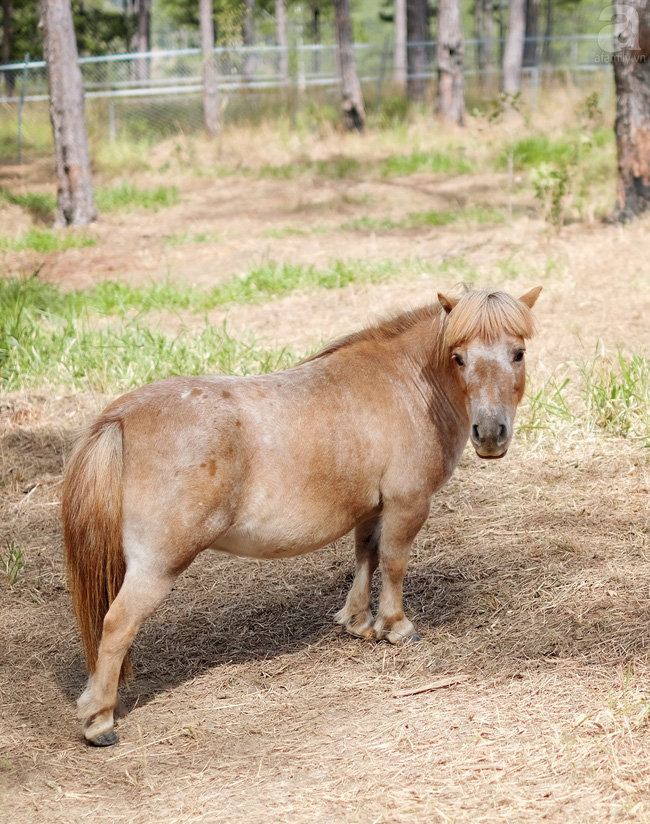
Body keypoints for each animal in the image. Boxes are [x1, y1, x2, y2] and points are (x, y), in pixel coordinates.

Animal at [64, 286, 540, 744]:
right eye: (459, 357)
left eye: (517, 353)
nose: (491, 434)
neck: (405, 384)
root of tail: (121, 418)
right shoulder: (407, 504)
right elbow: (394, 563)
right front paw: (396, 627)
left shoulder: (371, 507)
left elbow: (366, 556)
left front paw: (358, 621)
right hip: (157, 565)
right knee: (117, 625)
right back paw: (99, 722)